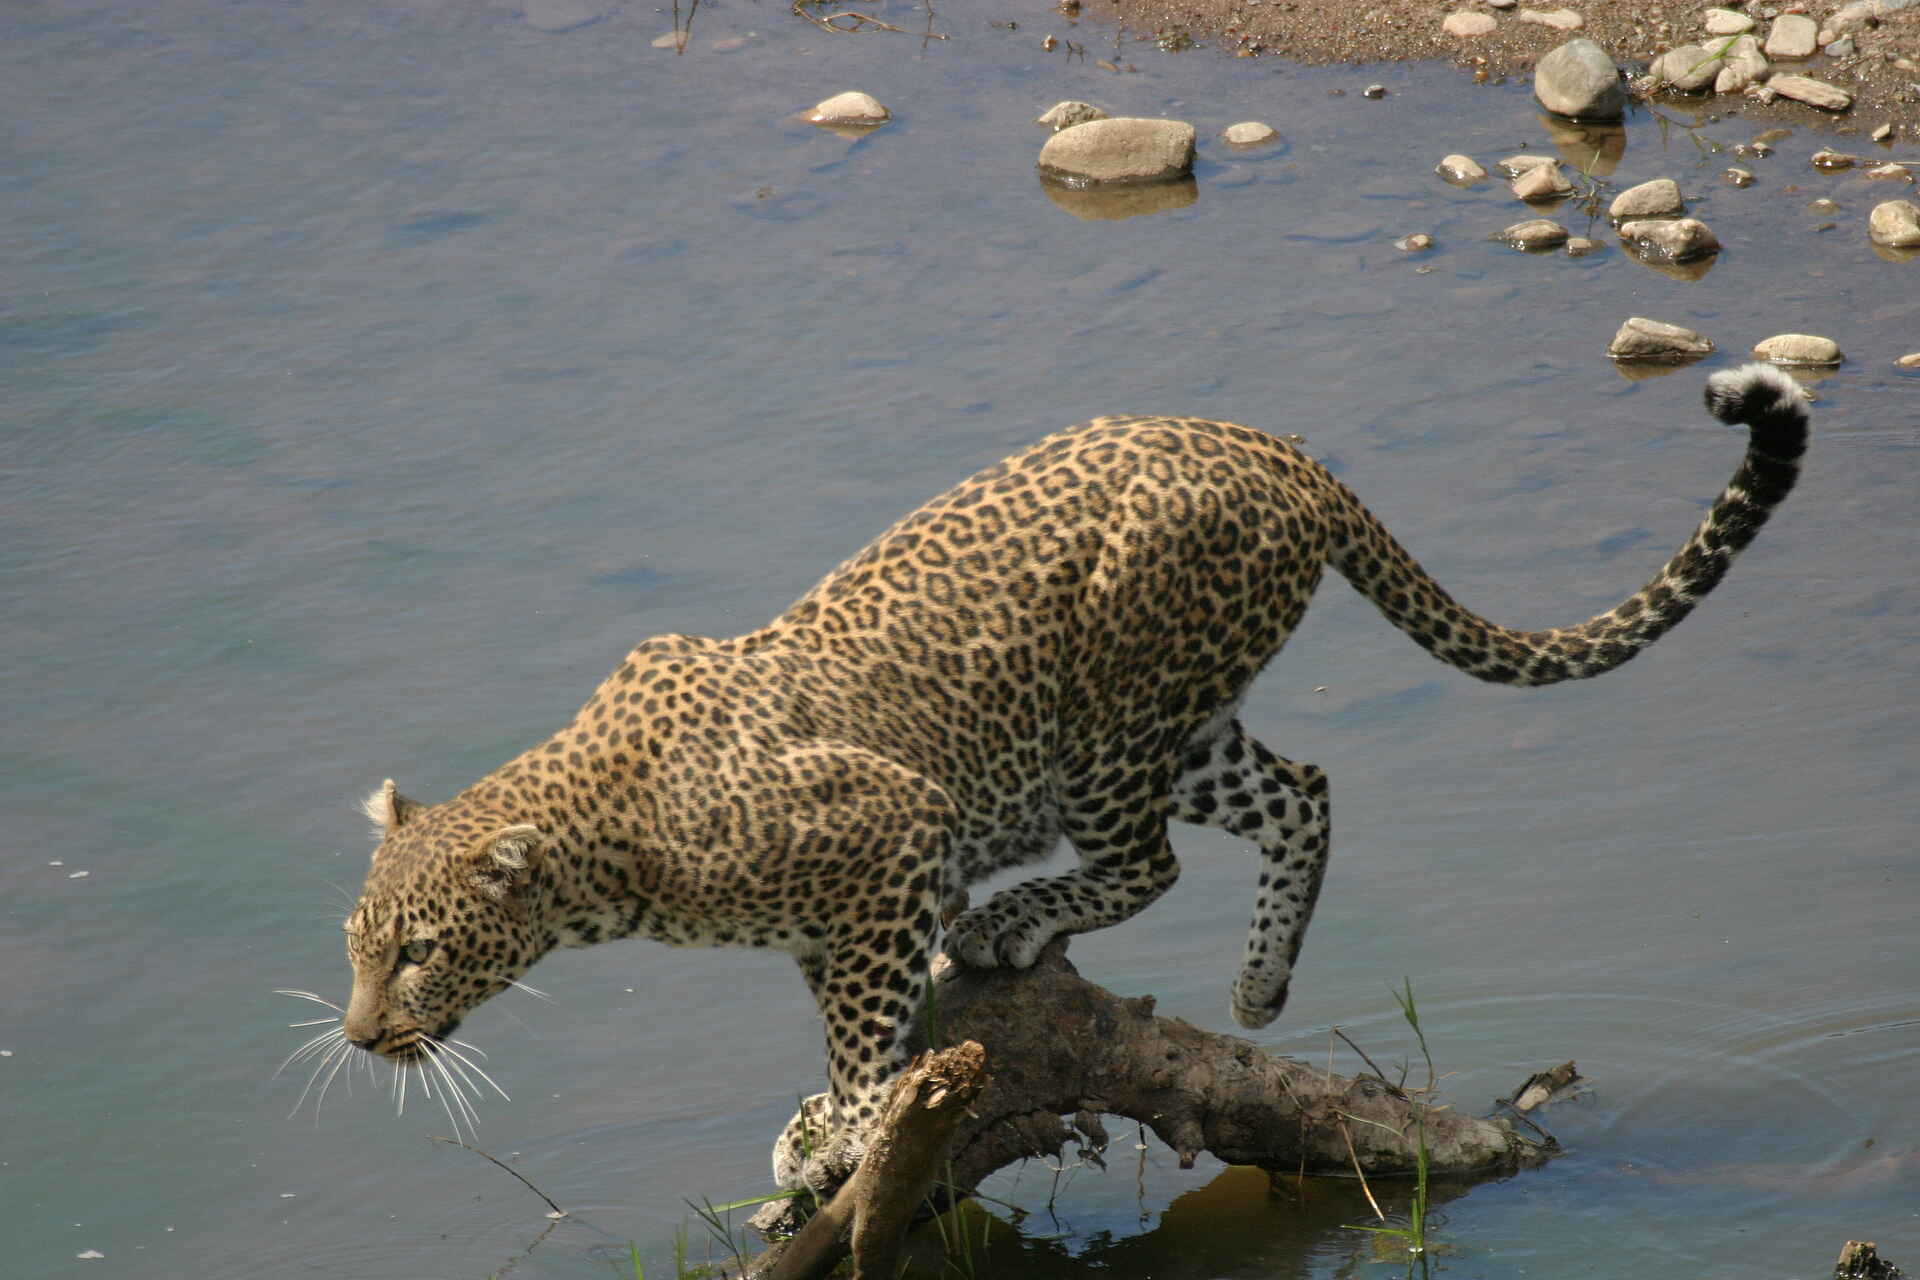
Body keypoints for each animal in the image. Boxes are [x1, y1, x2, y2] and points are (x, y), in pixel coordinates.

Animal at [333, 363, 1808, 1192]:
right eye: (355, 948)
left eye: (416, 954)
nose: (354, 1037)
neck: (605, 849)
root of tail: (1279, 447)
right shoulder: (833, 913)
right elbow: (853, 1008)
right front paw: (830, 1109)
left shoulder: (894, 835)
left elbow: (868, 1024)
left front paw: (844, 1131)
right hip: (1180, 728)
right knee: (1307, 787)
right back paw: (1259, 988)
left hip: (1107, 726)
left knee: (1148, 860)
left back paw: (1017, 922)